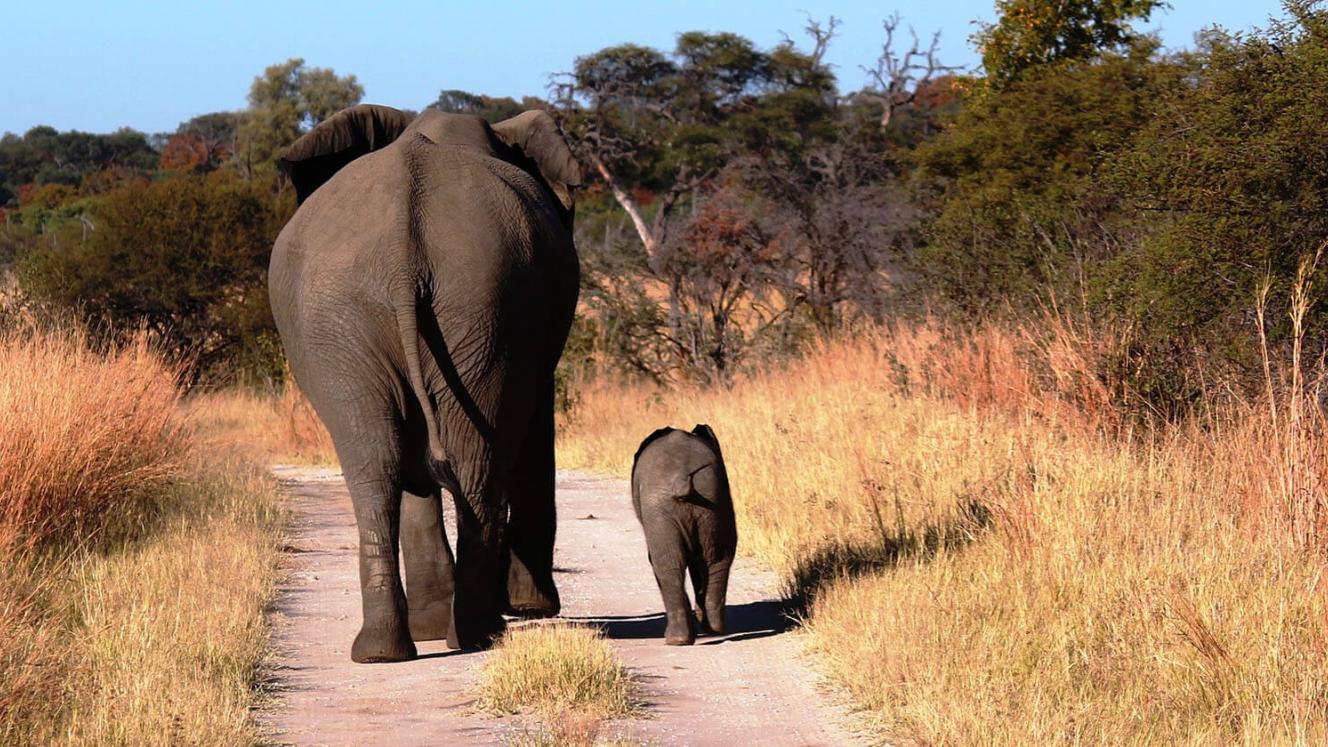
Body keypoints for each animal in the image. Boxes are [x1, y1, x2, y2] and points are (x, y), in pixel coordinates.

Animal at [268, 104, 581, 661]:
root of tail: (401, 256)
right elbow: (532, 430)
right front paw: (530, 610)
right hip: (453, 309)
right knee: (460, 463)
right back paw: (471, 633)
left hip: (409, 313)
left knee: (379, 464)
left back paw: (400, 647)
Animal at [630, 425, 738, 645]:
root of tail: (682, 481)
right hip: (714, 503)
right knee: (717, 558)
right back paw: (711, 630)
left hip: (661, 509)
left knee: (668, 564)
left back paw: (678, 639)